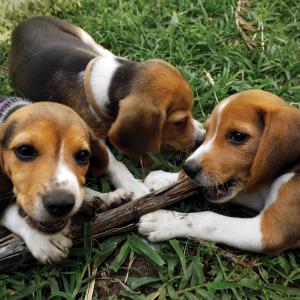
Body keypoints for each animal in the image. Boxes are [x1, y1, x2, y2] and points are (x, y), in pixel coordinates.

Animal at [0, 96, 131, 262]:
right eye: (24, 150)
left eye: (83, 155)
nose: (60, 204)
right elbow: (15, 212)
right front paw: (45, 239)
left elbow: (82, 190)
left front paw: (108, 197)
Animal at [9, 16, 206, 199]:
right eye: (179, 122)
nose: (202, 137)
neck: (110, 82)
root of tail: (25, 22)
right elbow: (114, 163)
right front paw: (133, 185)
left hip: (85, 37)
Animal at [139, 89, 300, 255]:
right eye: (207, 131)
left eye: (238, 136)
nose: (188, 169)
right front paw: (164, 178)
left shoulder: (270, 231)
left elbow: (210, 219)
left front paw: (165, 220)